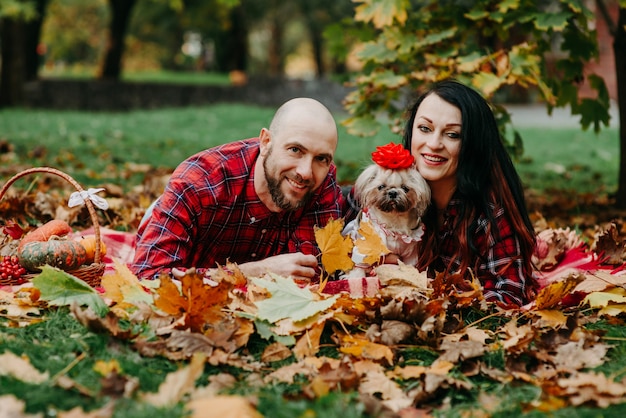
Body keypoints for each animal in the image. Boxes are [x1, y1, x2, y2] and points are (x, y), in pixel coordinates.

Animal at [342, 142, 428, 272]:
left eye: (405, 188)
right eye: (381, 187)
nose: (392, 192)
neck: (393, 220)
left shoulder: (410, 253)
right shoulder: (363, 250)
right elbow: (358, 268)